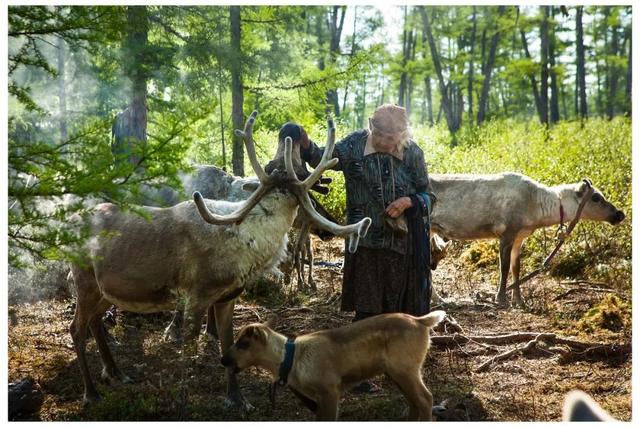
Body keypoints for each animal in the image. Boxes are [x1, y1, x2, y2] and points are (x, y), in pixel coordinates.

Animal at [220, 310, 444, 422]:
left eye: (244, 343)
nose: (223, 360)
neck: (291, 360)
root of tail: (421, 321)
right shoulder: (317, 399)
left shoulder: (329, 390)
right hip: (397, 373)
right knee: (414, 402)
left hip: (405, 369)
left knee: (426, 399)